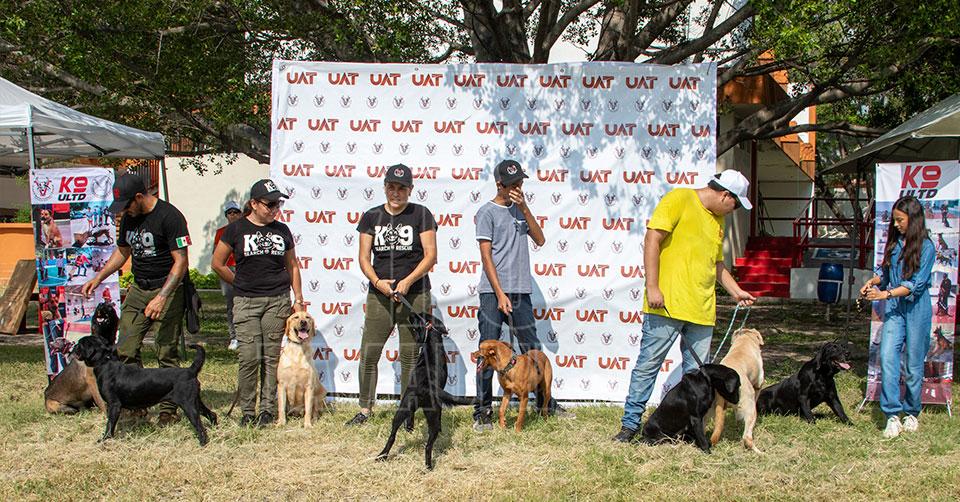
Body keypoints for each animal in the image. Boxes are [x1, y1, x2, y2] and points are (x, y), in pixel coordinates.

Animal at [72, 335, 217, 445]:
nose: (73, 346)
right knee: (212, 414)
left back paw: (202, 443)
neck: (105, 363)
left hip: (188, 404)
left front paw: (104, 439)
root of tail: (190, 371)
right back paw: (216, 429)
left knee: (199, 426)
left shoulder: (114, 404)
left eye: (80, 344)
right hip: (196, 401)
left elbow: (110, 424)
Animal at [376, 313, 473, 470]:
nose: (410, 314)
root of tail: (426, 386)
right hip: (430, 416)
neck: (432, 342)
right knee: (428, 442)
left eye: (417, 317)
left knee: (394, 436)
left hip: (403, 409)